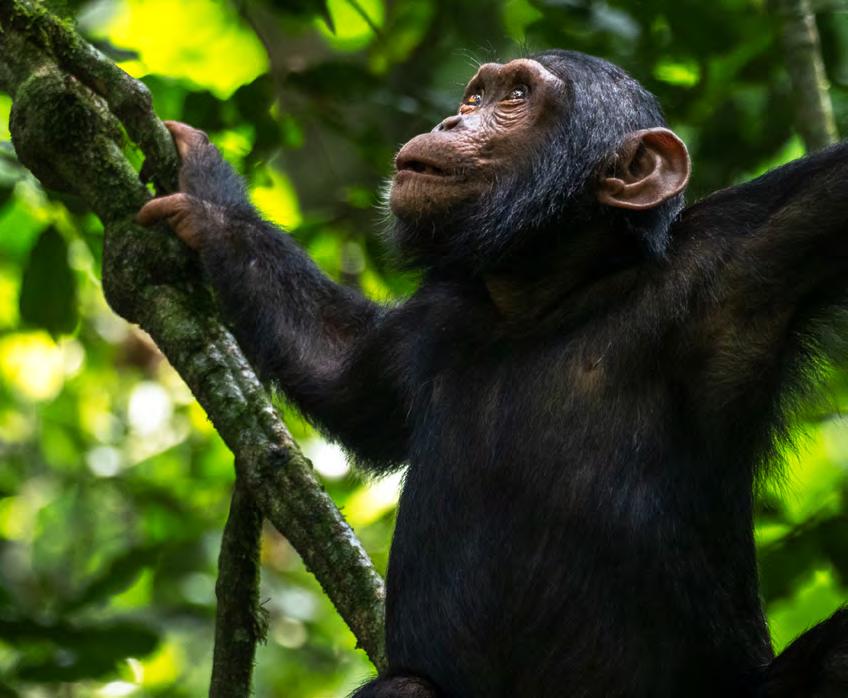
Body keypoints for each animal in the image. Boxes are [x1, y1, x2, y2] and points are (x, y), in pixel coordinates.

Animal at [136, 50, 848, 696]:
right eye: (477, 95)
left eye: (516, 97)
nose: (451, 120)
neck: (546, 295)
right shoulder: (430, 325)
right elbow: (341, 370)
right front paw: (210, 201)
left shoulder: (741, 260)